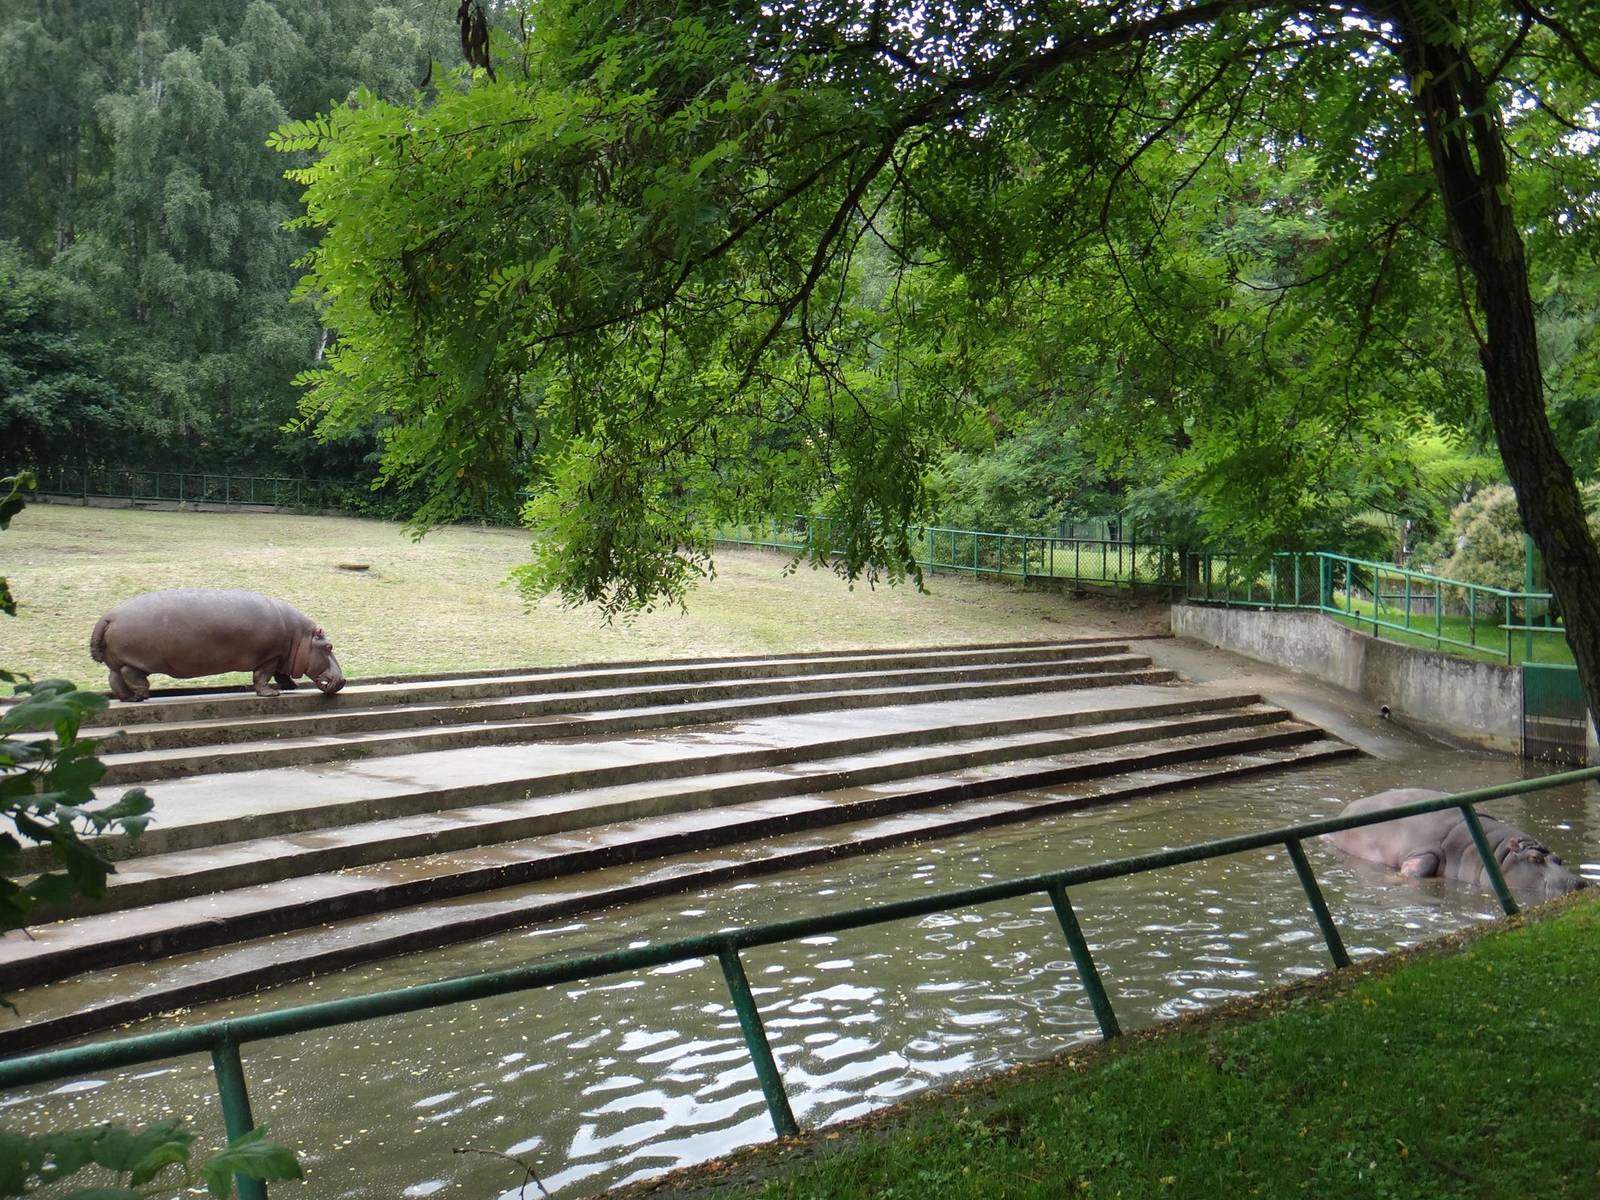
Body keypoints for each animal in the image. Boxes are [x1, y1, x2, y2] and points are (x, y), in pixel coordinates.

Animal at [90, 589, 346, 701]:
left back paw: (129, 698)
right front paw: (271, 694)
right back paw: (143, 695)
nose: (343, 680)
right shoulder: (270, 656)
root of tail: (108, 616)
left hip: (116, 659)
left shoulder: (281, 656)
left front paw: (291, 687)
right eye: (329, 646)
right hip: (137, 660)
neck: (300, 636)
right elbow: (262, 675)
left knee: (114, 678)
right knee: (129, 674)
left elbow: (281, 674)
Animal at [1327, 788, 1586, 901]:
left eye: (1558, 859)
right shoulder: (1426, 849)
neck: (1495, 853)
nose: (1579, 882)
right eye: (1534, 859)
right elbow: (1418, 868)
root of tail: (1347, 809)